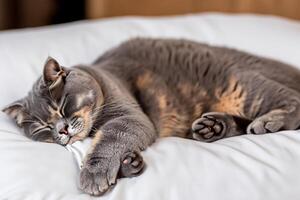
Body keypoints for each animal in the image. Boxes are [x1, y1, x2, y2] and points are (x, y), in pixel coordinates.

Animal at [2, 37, 300, 195]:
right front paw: (128, 164)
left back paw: (266, 122)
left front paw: (94, 175)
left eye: (62, 106)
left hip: (239, 82)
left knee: (293, 104)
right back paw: (212, 126)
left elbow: (109, 139)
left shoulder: (129, 116)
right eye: (42, 128)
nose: (62, 130)